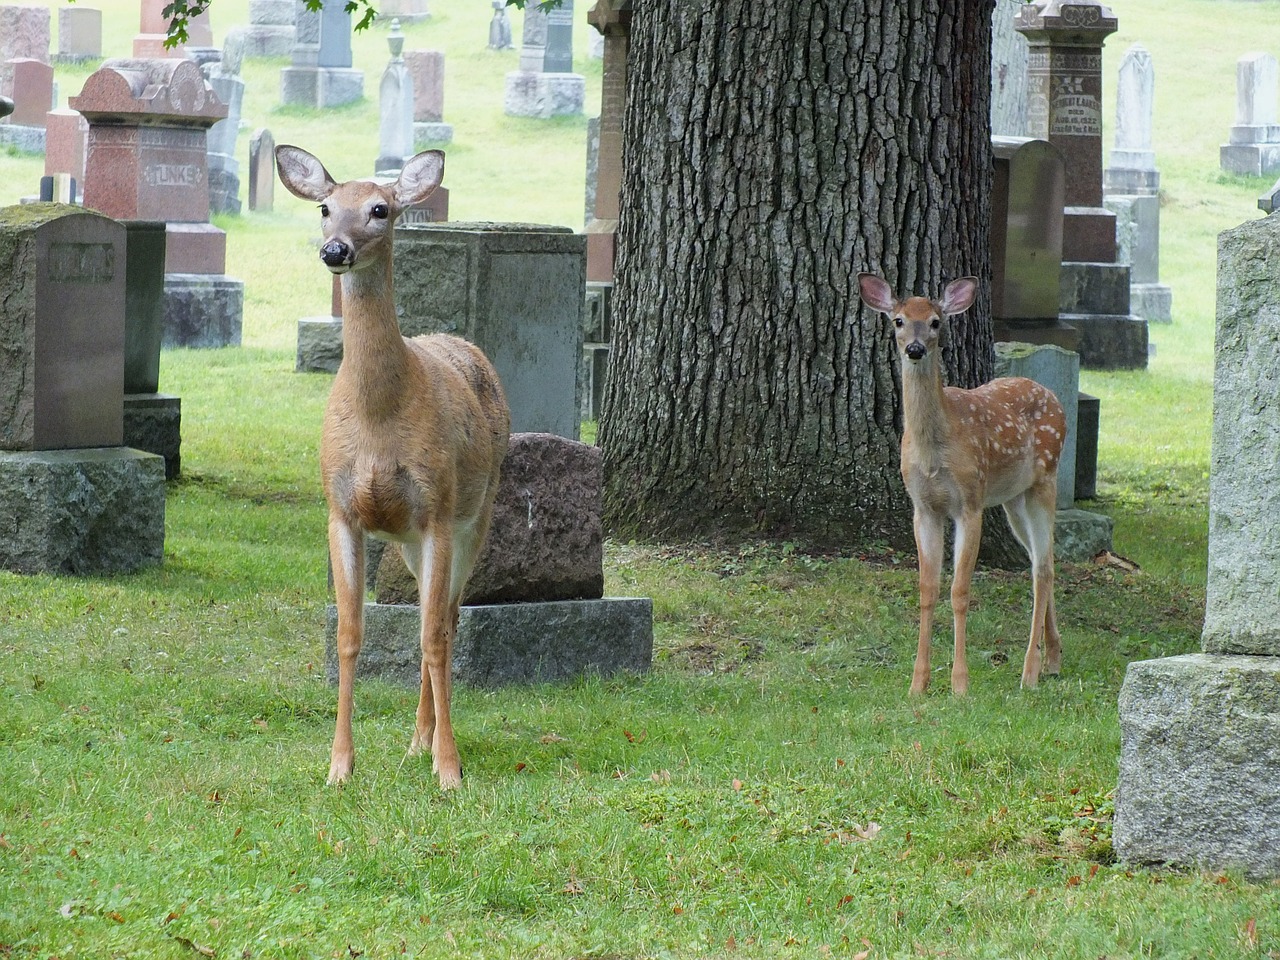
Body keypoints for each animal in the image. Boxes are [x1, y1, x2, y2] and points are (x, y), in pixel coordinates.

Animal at [277, 142, 506, 788]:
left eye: (380, 209)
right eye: (325, 208)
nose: (335, 250)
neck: (378, 420)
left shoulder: (436, 511)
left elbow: (432, 637)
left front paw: (450, 770)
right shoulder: (341, 511)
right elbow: (351, 634)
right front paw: (339, 765)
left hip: (475, 516)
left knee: (447, 622)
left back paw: (429, 744)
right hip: (404, 541)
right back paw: (415, 740)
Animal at [860, 273, 1070, 696]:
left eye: (936, 322)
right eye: (899, 321)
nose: (915, 349)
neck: (933, 452)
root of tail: (1052, 396)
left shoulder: (969, 504)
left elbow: (959, 591)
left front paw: (960, 683)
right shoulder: (923, 508)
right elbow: (927, 589)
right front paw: (918, 683)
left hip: (1045, 479)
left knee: (1042, 569)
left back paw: (1030, 671)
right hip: (1012, 500)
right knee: (1044, 561)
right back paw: (1053, 659)